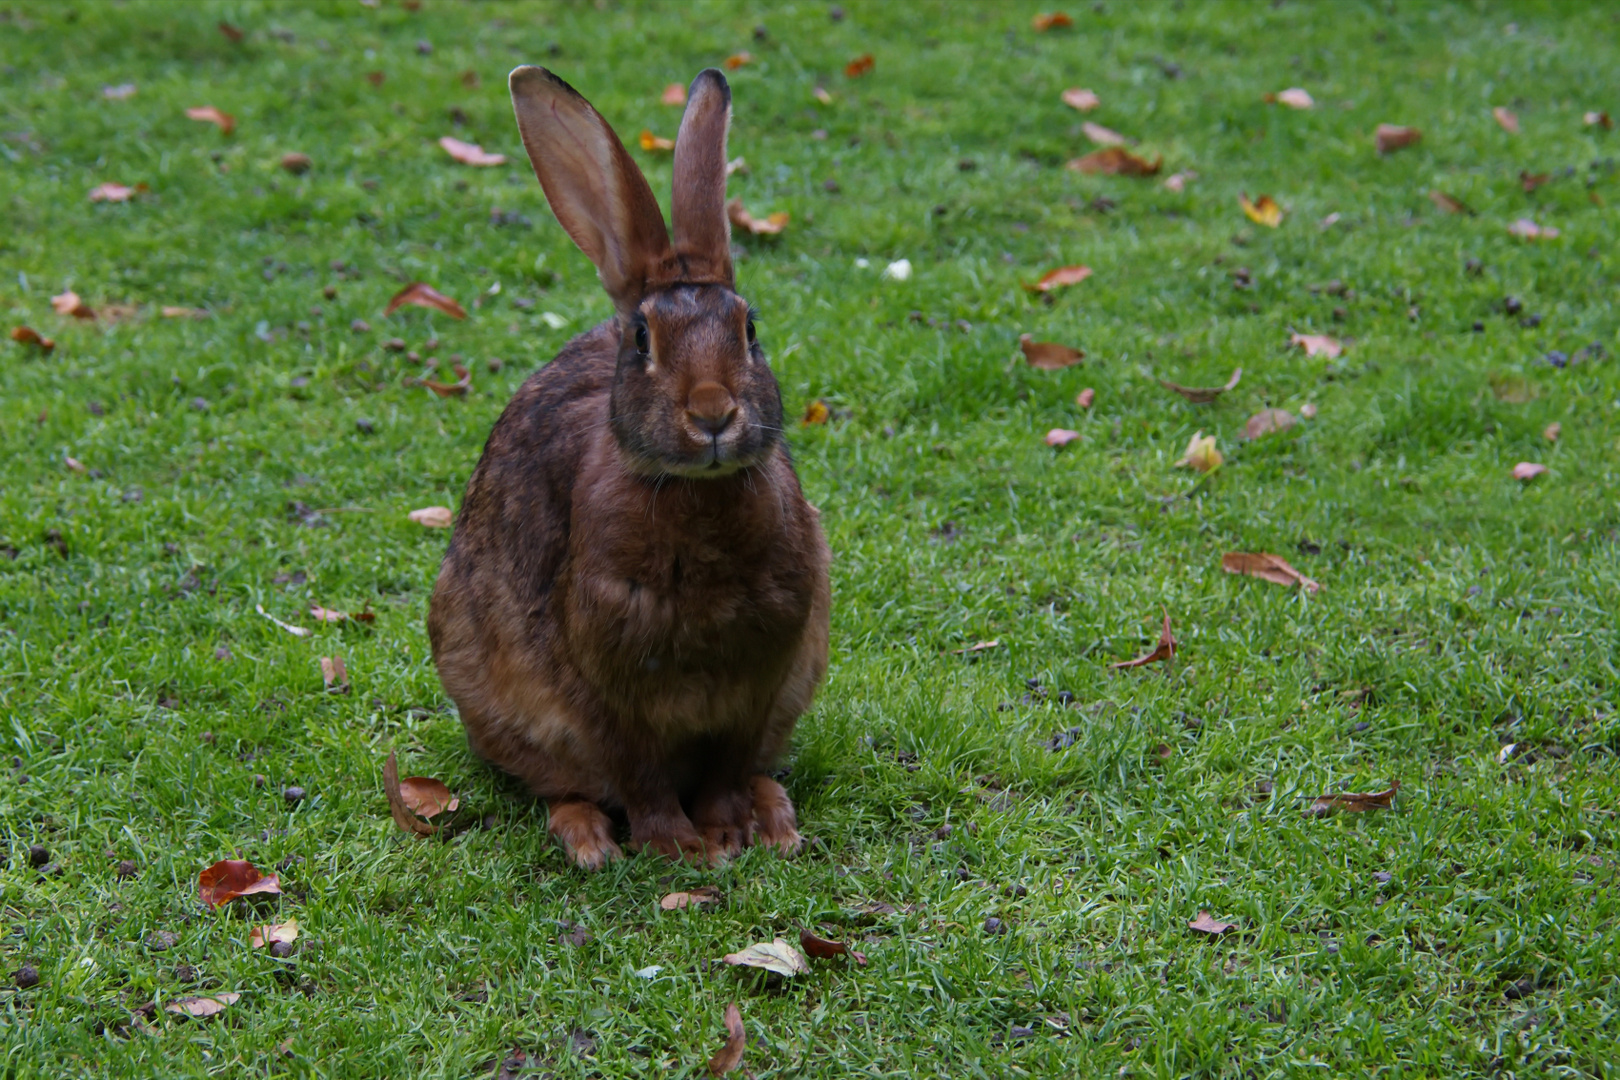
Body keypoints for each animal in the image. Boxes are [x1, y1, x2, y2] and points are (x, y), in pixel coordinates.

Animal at [424, 67, 829, 867]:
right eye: (643, 337)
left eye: (750, 329)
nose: (712, 413)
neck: (697, 498)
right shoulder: (602, 689)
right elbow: (638, 772)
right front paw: (679, 848)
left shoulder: (762, 681)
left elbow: (727, 768)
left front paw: (728, 831)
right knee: (563, 784)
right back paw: (588, 840)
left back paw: (777, 820)